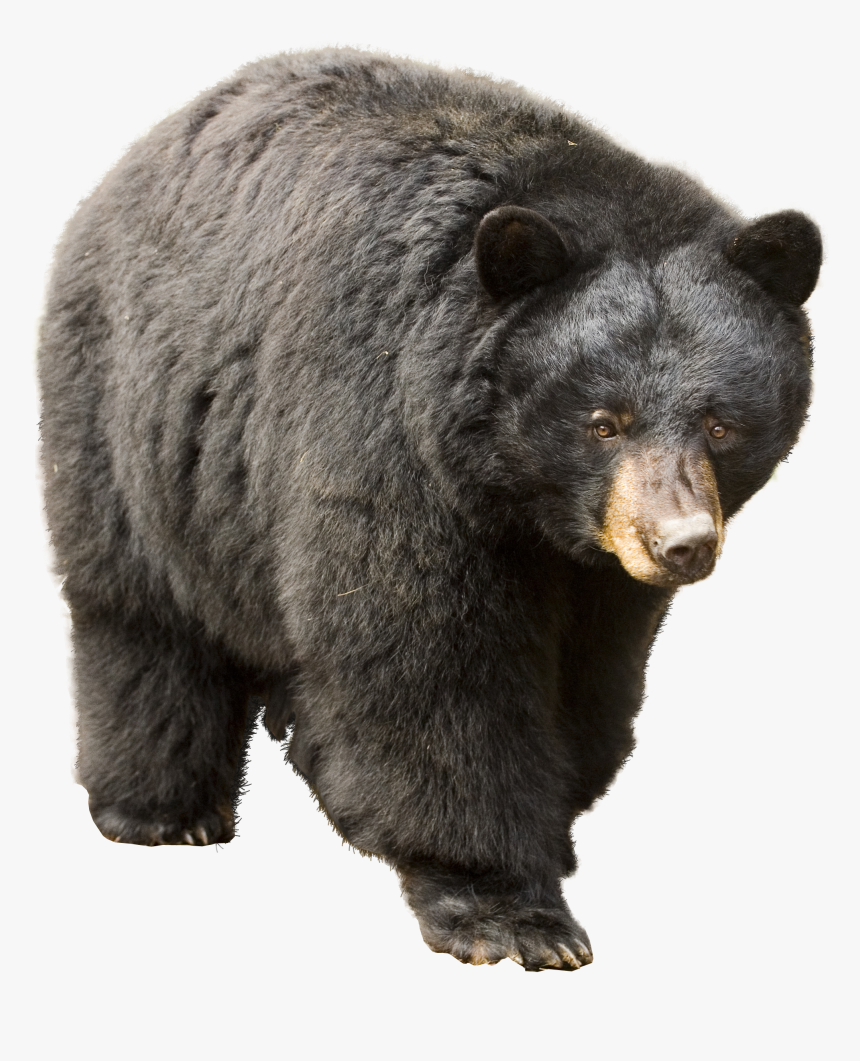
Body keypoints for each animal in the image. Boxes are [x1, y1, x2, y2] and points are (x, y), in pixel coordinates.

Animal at [38, 48, 821, 971]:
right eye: (604, 421)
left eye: (721, 422)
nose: (682, 543)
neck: (513, 491)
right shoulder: (387, 435)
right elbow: (429, 664)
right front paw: (505, 909)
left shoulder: (596, 572)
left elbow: (589, 674)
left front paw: (551, 832)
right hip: (129, 418)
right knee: (141, 613)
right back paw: (163, 809)